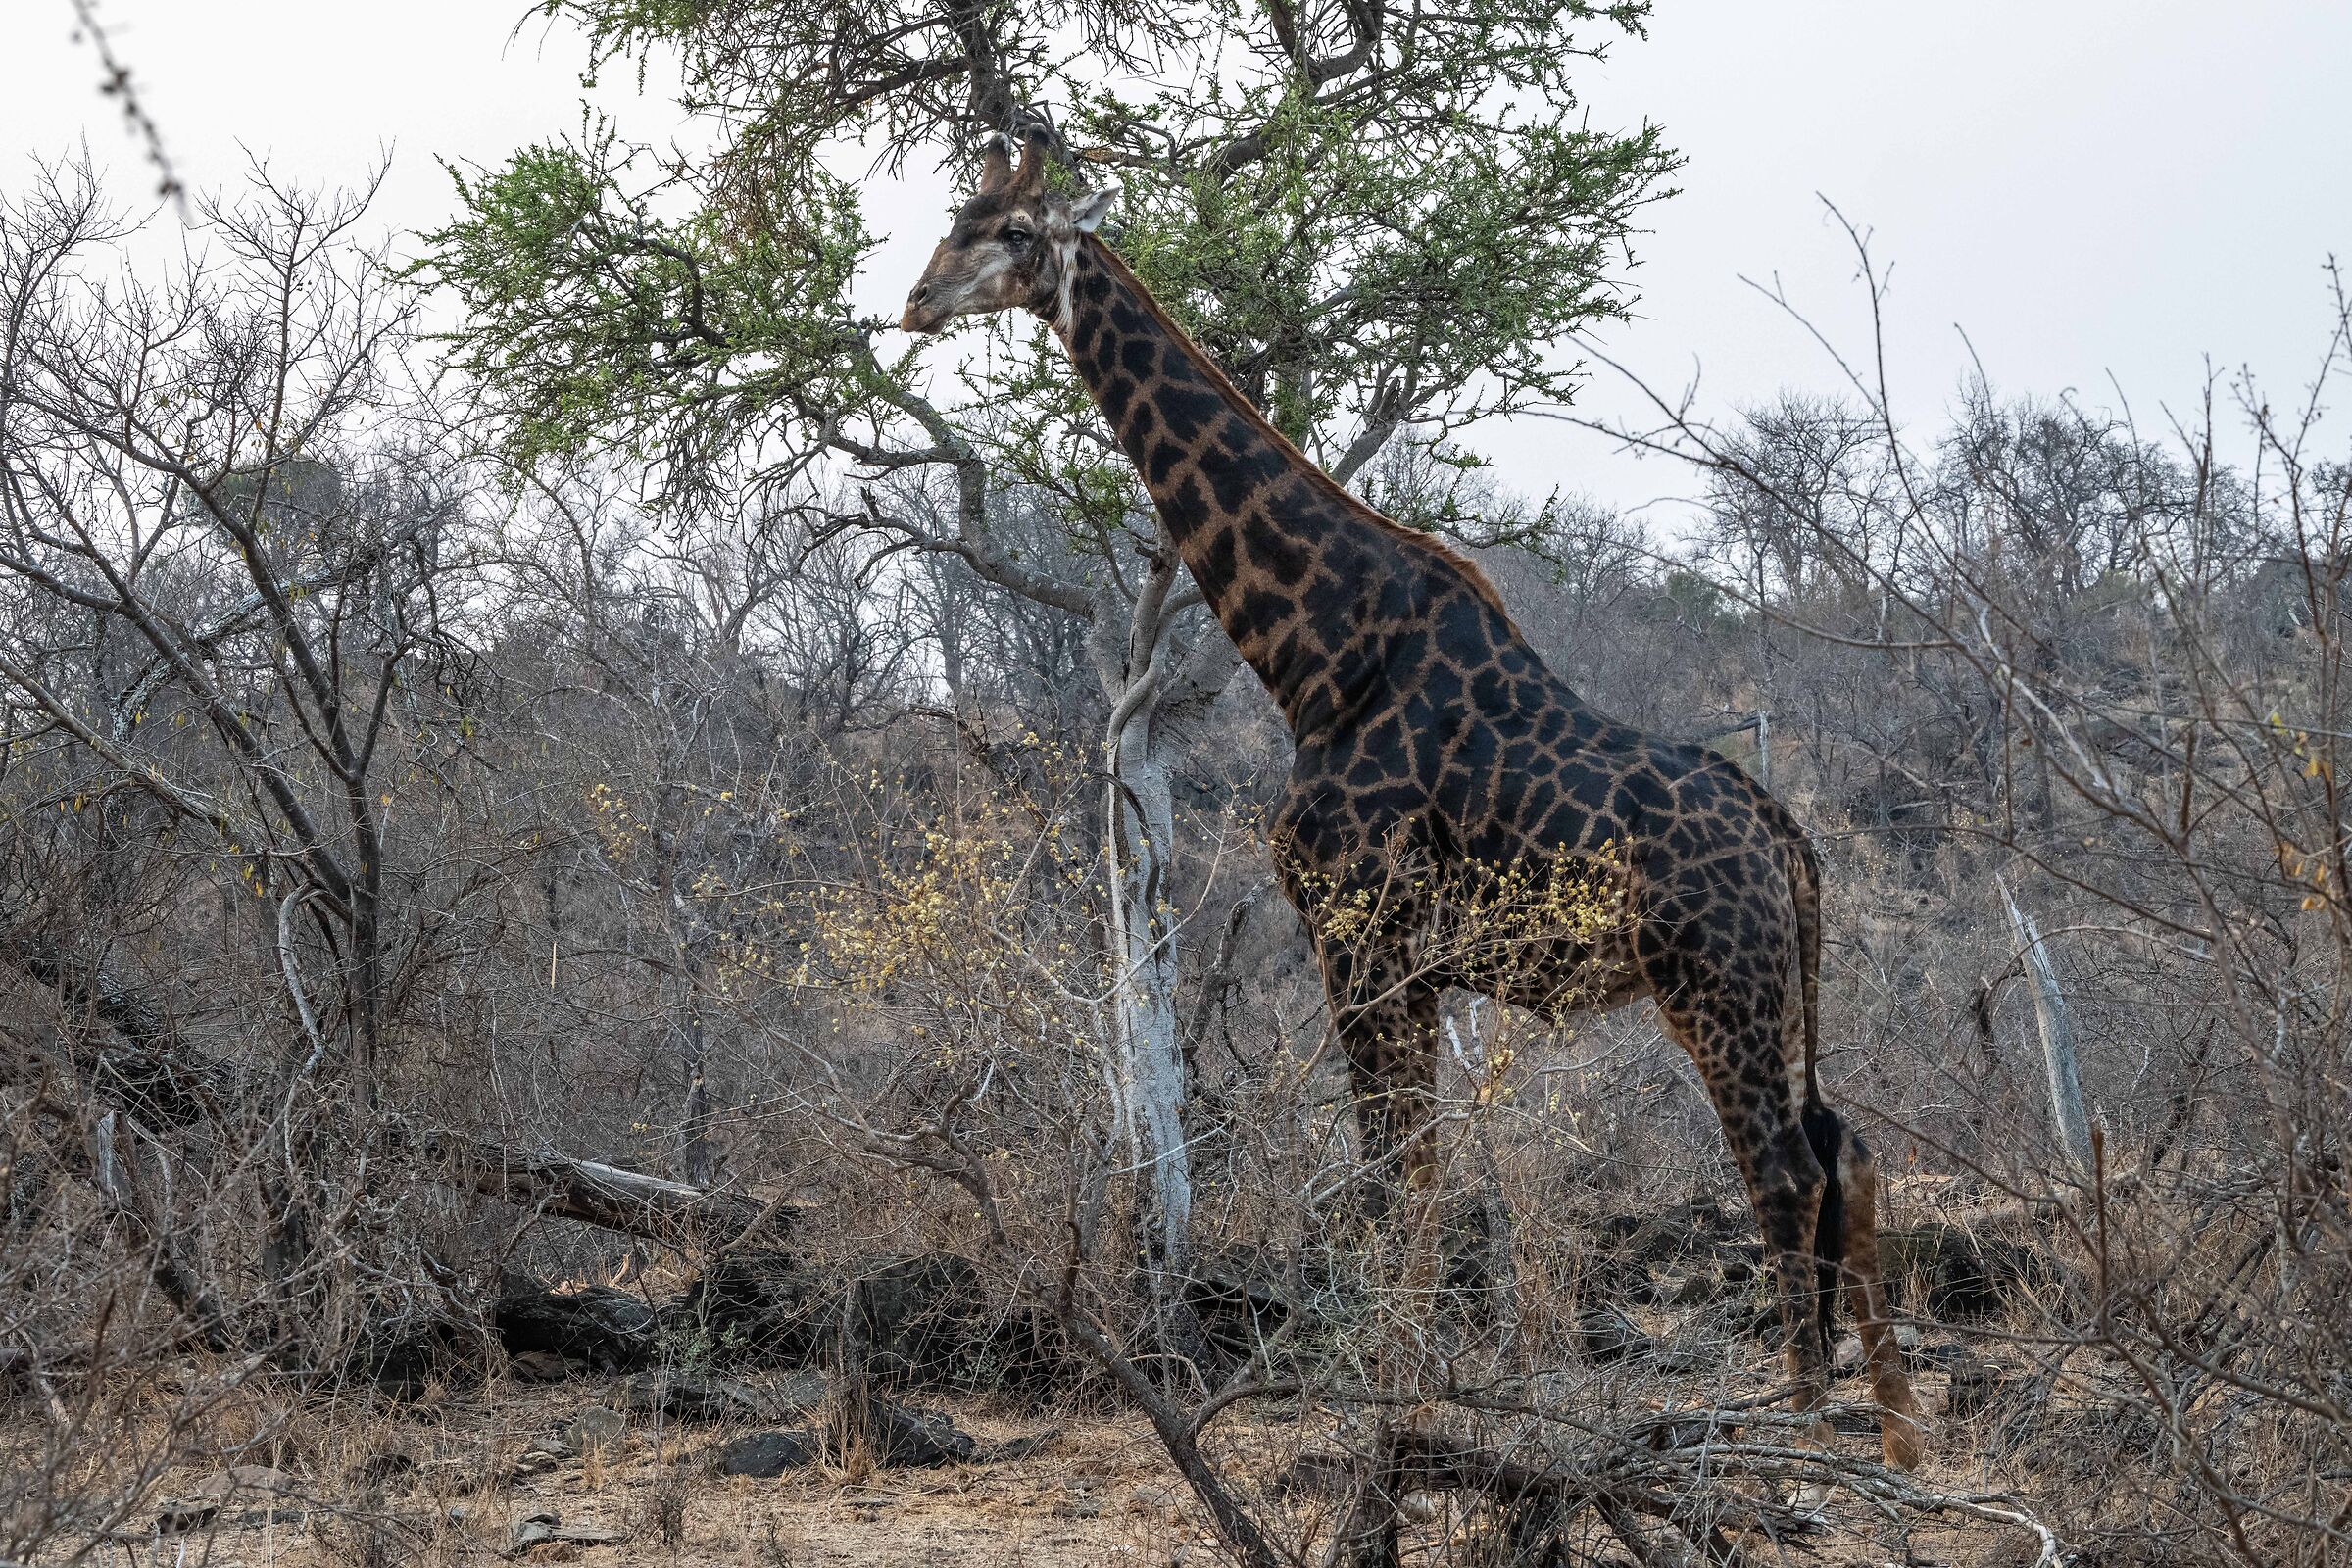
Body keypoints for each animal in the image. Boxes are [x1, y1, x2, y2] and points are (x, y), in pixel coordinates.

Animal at [899, 128, 1923, 1469]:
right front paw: (1413, 1381)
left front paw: (1389, 1395)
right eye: (956, 217)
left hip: (1720, 984)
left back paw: (1794, 1413)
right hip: (1770, 986)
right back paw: (1863, 1412)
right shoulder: (1408, 961)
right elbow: (1419, 1175)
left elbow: (1394, 1176)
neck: (1318, 654)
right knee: (1838, 1150)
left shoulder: (1360, 934)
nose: (915, 300)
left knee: (1789, 1168)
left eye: (1012, 231)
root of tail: (1785, 836)